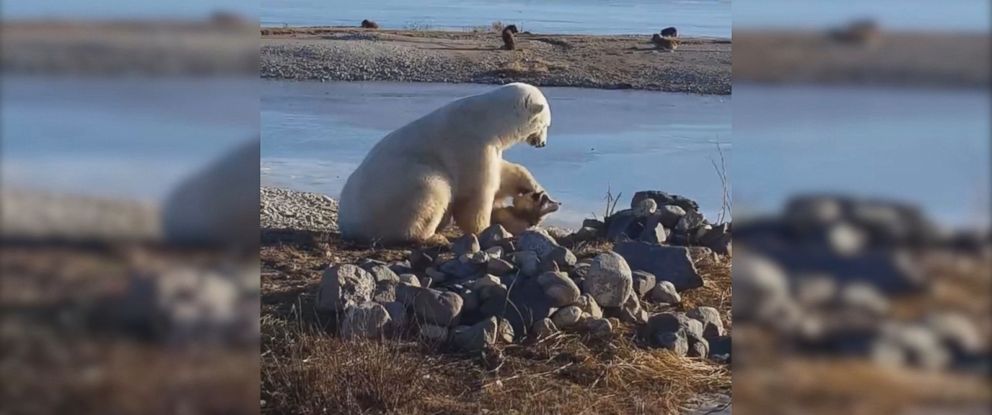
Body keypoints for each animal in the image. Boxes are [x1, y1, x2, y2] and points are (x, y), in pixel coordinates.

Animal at [336, 82, 552, 244]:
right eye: (546, 124)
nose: (542, 144)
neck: (487, 119)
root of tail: (348, 223)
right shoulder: (470, 145)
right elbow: (476, 192)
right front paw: (486, 229)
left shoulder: (491, 147)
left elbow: (503, 173)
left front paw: (534, 188)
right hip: (397, 192)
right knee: (433, 190)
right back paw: (432, 237)